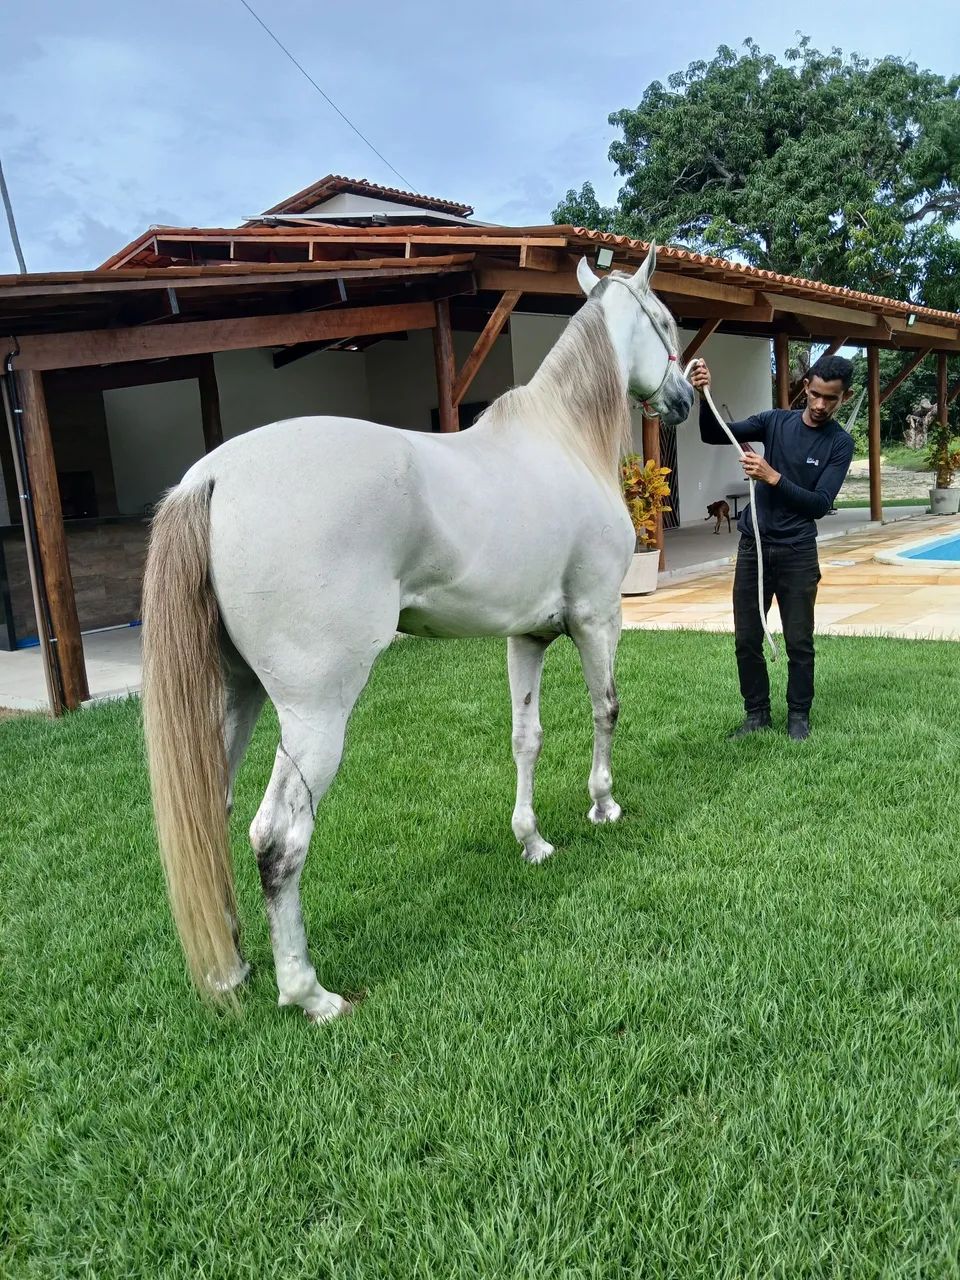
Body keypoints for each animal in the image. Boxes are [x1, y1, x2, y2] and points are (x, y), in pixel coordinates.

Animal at [141, 246, 694, 1022]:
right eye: (666, 319)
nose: (682, 401)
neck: (563, 440)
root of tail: (211, 479)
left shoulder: (528, 636)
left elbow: (526, 737)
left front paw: (533, 842)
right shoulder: (595, 618)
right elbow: (605, 710)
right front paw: (603, 805)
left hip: (233, 697)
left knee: (209, 819)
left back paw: (236, 971)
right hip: (315, 714)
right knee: (277, 837)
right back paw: (308, 993)